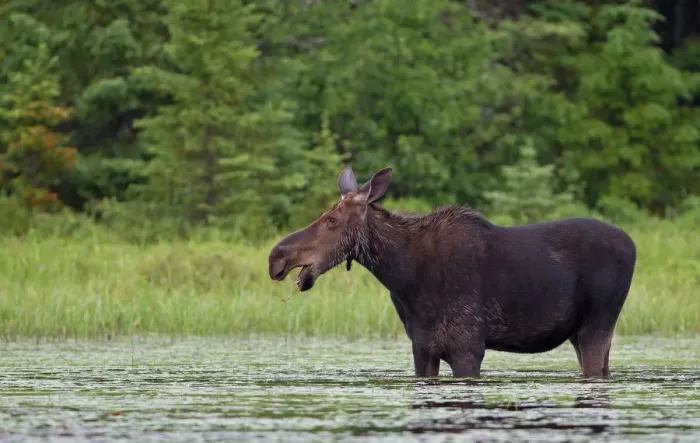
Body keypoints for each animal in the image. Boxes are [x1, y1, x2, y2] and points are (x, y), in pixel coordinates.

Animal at [268, 166, 637, 378]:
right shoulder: (421, 348)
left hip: (597, 324)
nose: (276, 257)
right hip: (580, 332)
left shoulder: (467, 347)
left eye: (332, 220)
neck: (404, 277)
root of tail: (633, 245)